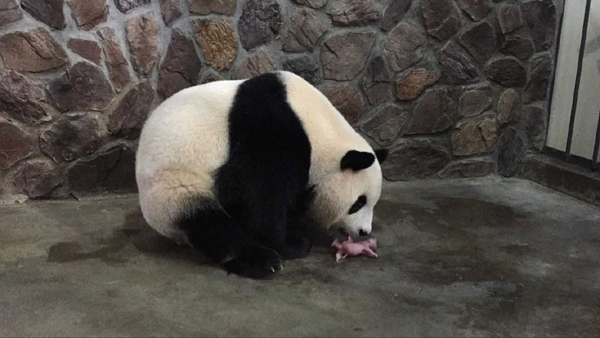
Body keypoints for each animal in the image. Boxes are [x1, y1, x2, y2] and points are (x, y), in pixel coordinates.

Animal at [136, 70, 390, 278]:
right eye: (358, 203)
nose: (363, 231)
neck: (319, 127)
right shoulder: (273, 130)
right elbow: (254, 190)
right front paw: (288, 243)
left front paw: (295, 228)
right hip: (173, 185)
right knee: (208, 222)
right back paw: (261, 261)